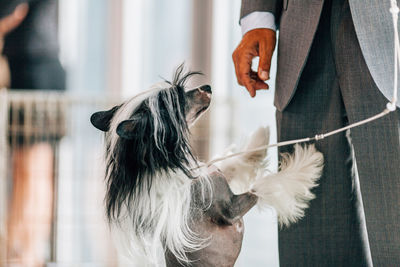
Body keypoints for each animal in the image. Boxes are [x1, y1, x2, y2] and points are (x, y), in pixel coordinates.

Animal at [91, 66, 324, 266]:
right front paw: (307, 162)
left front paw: (258, 141)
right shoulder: (230, 209)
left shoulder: (214, 175)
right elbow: (264, 185)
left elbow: (231, 163)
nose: (207, 87)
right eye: (177, 100)